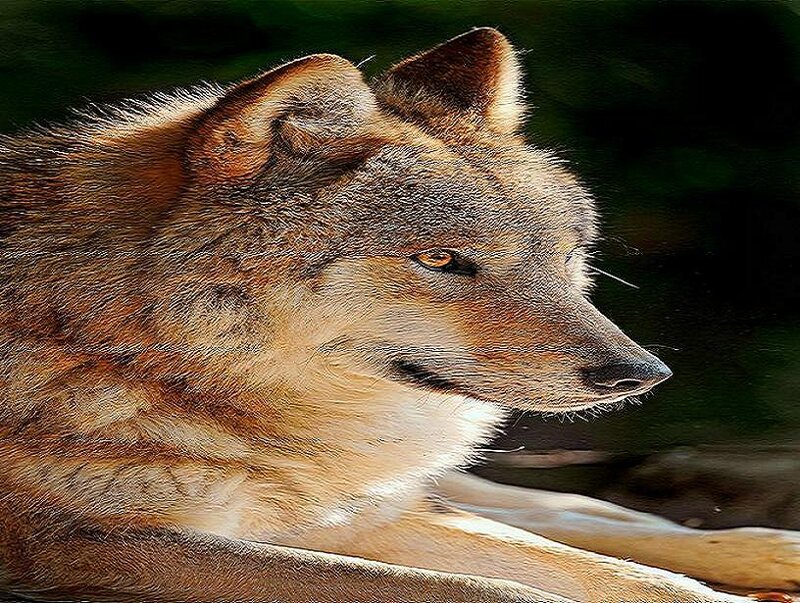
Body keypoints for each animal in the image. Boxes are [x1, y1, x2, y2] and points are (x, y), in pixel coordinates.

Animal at [0, 27, 797, 603]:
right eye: (441, 259)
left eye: (566, 255)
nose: (641, 375)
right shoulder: (93, 544)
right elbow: (497, 589)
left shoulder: (341, 515)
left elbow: (638, 577)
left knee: (566, 512)